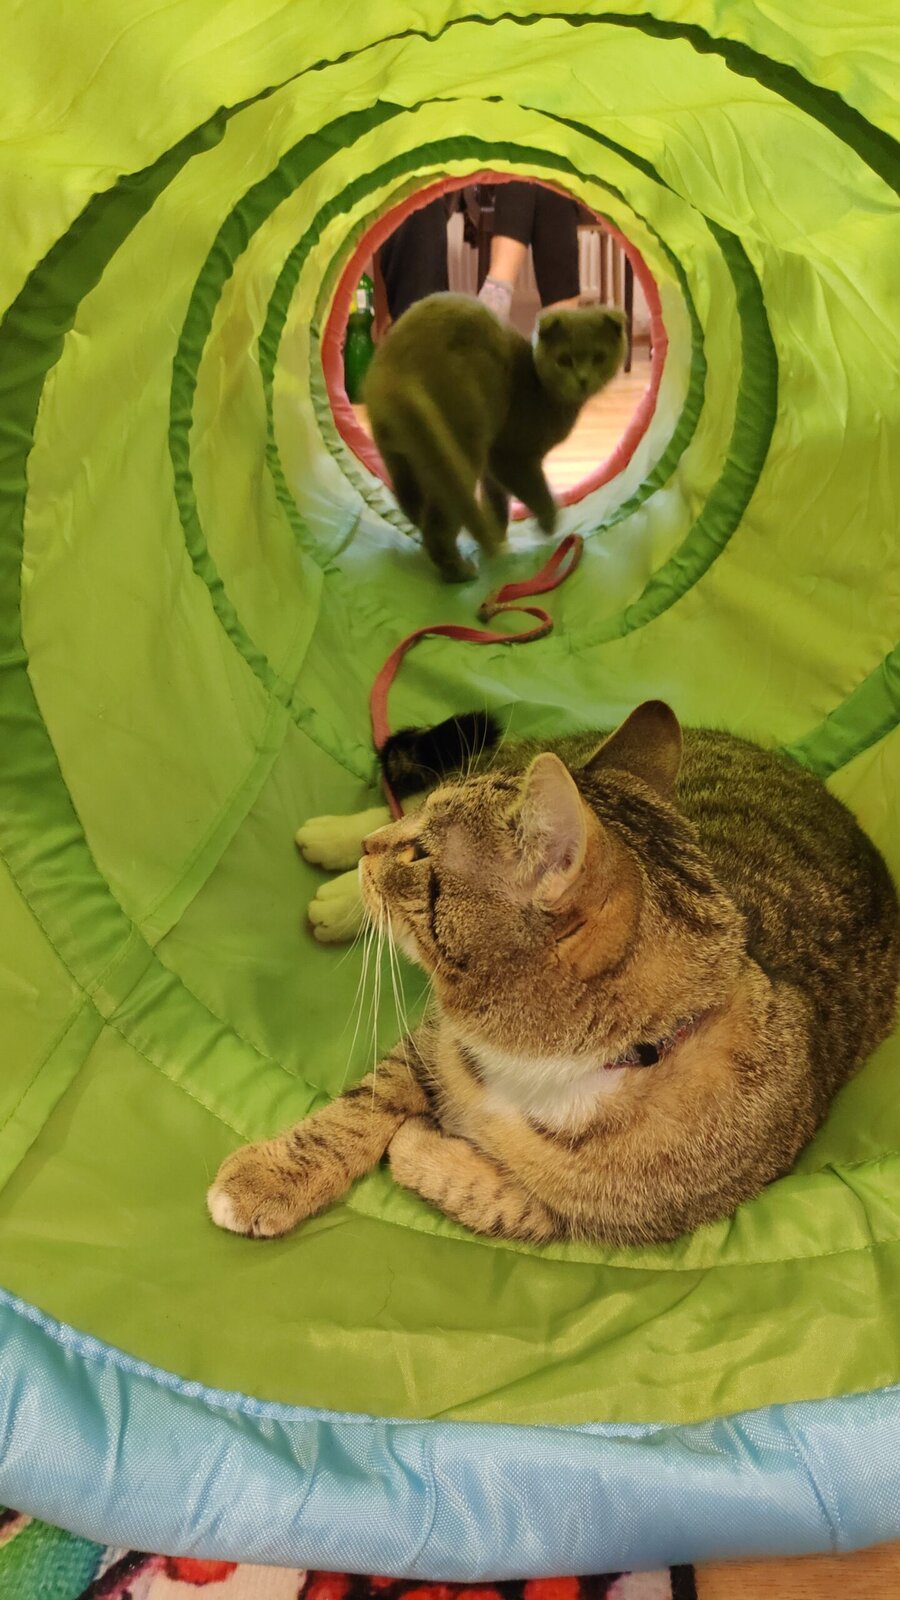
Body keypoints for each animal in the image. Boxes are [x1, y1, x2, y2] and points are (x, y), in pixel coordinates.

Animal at [208, 702, 899, 1246]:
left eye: (421, 854)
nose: (374, 849)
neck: (545, 1066)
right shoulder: (429, 1042)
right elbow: (361, 1106)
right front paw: (269, 1177)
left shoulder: (590, 1221)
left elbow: (491, 1197)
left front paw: (420, 1145)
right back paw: (334, 853)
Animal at [363, 293, 626, 582]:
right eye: (564, 360)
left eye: (599, 357)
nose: (583, 379)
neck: (542, 390)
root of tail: (397, 365)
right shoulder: (508, 456)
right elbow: (537, 492)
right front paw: (547, 524)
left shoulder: (493, 469)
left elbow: (496, 501)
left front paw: (500, 537)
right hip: (464, 440)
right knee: (439, 520)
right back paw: (460, 570)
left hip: (402, 454)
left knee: (410, 500)